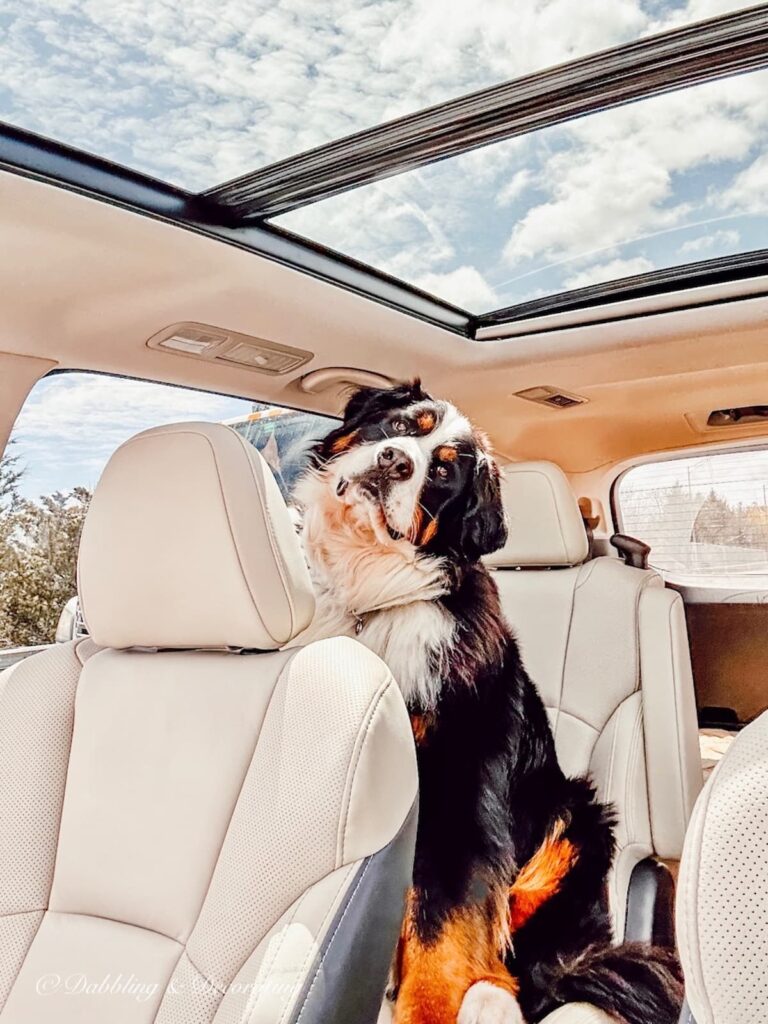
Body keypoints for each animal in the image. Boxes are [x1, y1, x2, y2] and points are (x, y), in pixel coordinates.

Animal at [290, 382, 684, 1024]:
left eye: (443, 473)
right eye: (400, 425)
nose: (395, 462)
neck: (373, 594)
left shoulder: (459, 777)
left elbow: (444, 916)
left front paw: (429, 1006)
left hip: (576, 817)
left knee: (524, 956)